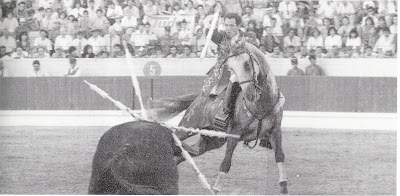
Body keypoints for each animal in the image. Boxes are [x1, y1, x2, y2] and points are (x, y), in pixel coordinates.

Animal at [150, 42, 288, 194]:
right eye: (232, 68)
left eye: (247, 65)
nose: (250, 95)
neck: (262, 105)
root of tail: (199, 98)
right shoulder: (234, 135)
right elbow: (225, 164)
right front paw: (215, 189)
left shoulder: (275, 131)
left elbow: (279, 155)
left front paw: (284, 186)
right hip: (187, 126)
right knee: (176, 140)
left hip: (213, 141)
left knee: (186, 153)